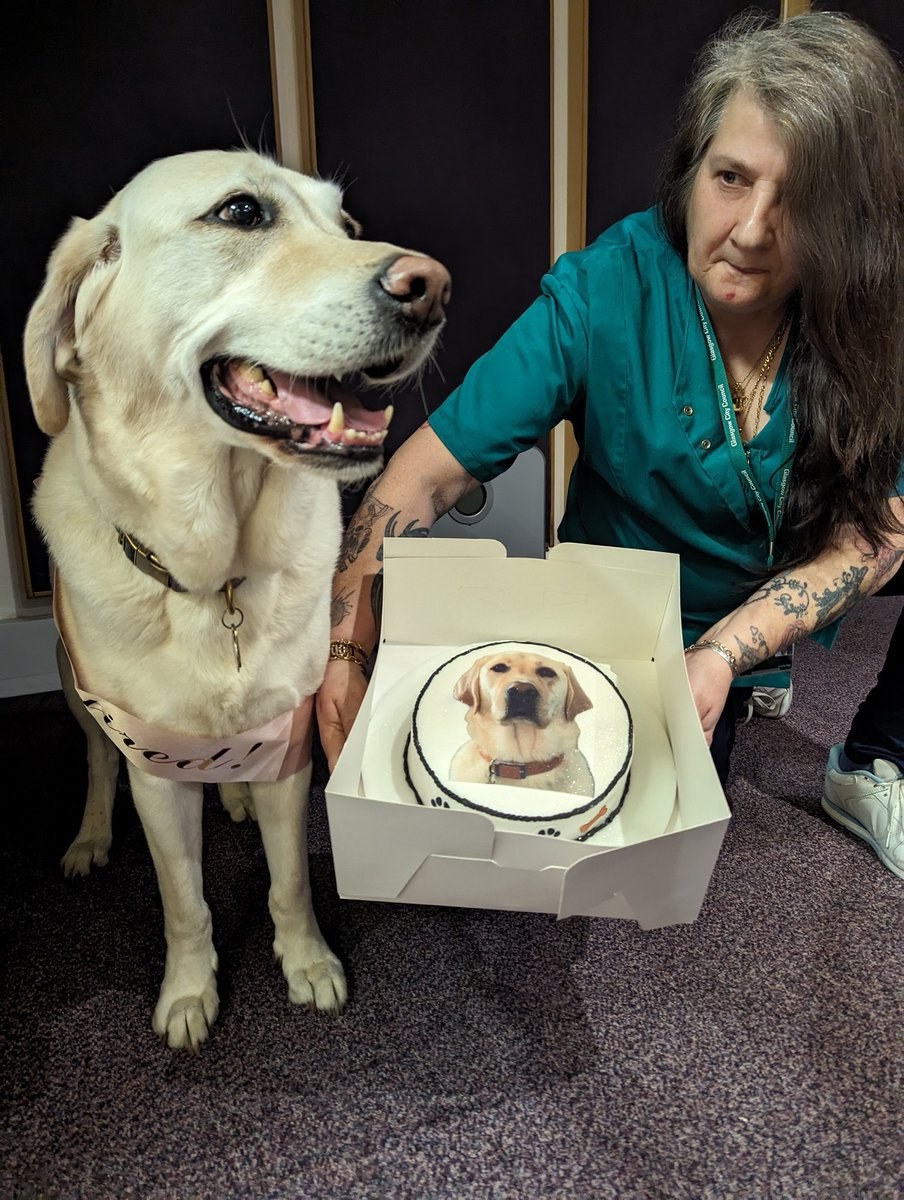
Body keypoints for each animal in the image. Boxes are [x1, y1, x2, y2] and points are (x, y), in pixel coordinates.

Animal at [26, 150, 448, 1051]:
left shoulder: (291, 744)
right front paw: (189, 991)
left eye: (346, 225)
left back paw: (234, 796)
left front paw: (307, 963)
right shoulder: (153, 770)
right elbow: (184, 901)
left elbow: (289, 881)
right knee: (95, 764)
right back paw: (90, 836)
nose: (431, 287)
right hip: (75, 689)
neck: (214, 578)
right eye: (241, 212)